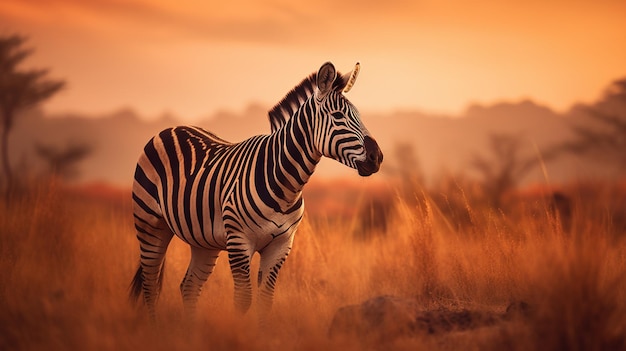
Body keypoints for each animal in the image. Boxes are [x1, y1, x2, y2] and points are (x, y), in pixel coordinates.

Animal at [129, 61, 382, 322]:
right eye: (338, 116)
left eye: (359, 116)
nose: (377, 157)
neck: (285, 185)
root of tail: (170, 128)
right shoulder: (239, 242)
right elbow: (243, 300)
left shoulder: (281, 246)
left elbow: (265, 301)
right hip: (149, 223)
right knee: (150, 284)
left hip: (203, 242)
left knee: (189, 286)